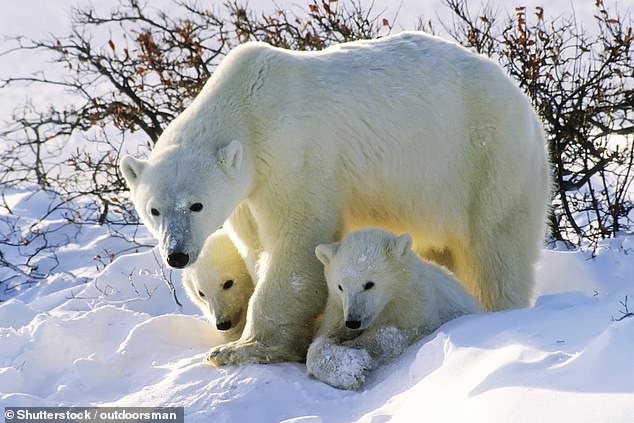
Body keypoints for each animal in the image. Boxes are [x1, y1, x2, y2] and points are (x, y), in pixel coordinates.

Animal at [118, 31, 548, 366]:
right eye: (153, 210)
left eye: (196, 205)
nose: (177, 254)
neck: (250, 105)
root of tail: (526, 106)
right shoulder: (246, 195)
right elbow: (255, 248)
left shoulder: (296, 155)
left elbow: (296, 245)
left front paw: (240, 348)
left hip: (487, 160)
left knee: (496, 250)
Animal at [306, 229, 478, 390]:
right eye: (340, 286)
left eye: (369, 284)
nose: (353, 321)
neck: (390, 302)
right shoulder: (337, 311)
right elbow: (320, 341)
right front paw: (349, 367)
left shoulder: (416, 307)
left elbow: (394, 334)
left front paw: (356, 351)